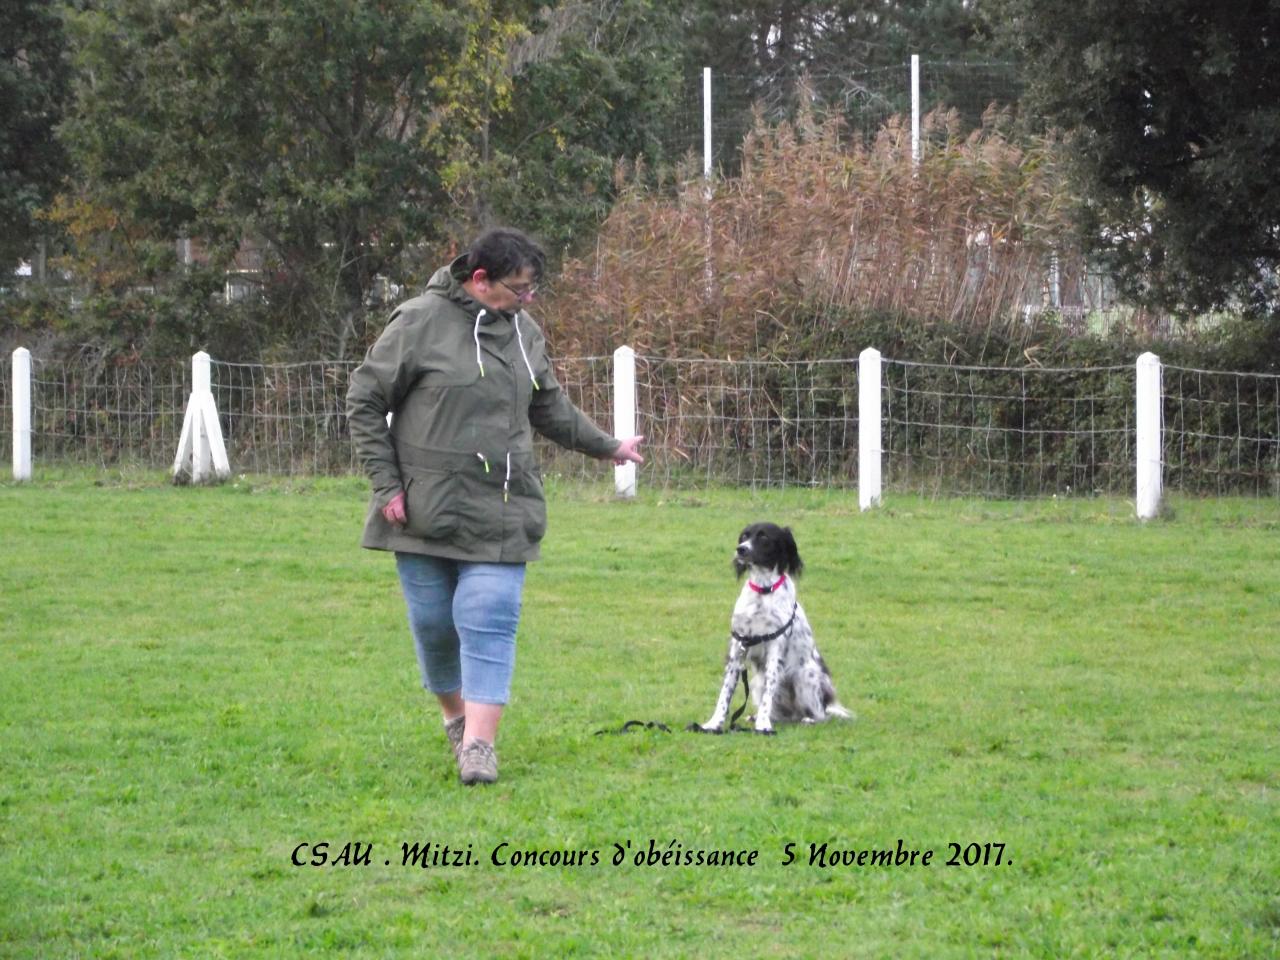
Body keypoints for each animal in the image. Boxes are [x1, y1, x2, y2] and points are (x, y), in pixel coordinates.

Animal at [691, 527, 849, 737]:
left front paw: (763, 726)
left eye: (764, 537)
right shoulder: (738, 647)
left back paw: (807, 719)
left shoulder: (775, 648)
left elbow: (769, 694)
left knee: (819, 715)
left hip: (805, 677)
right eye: (744, 536)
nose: (741, 549)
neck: (763, 590)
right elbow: (725, 693)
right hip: (758, 681)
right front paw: (714, 723)